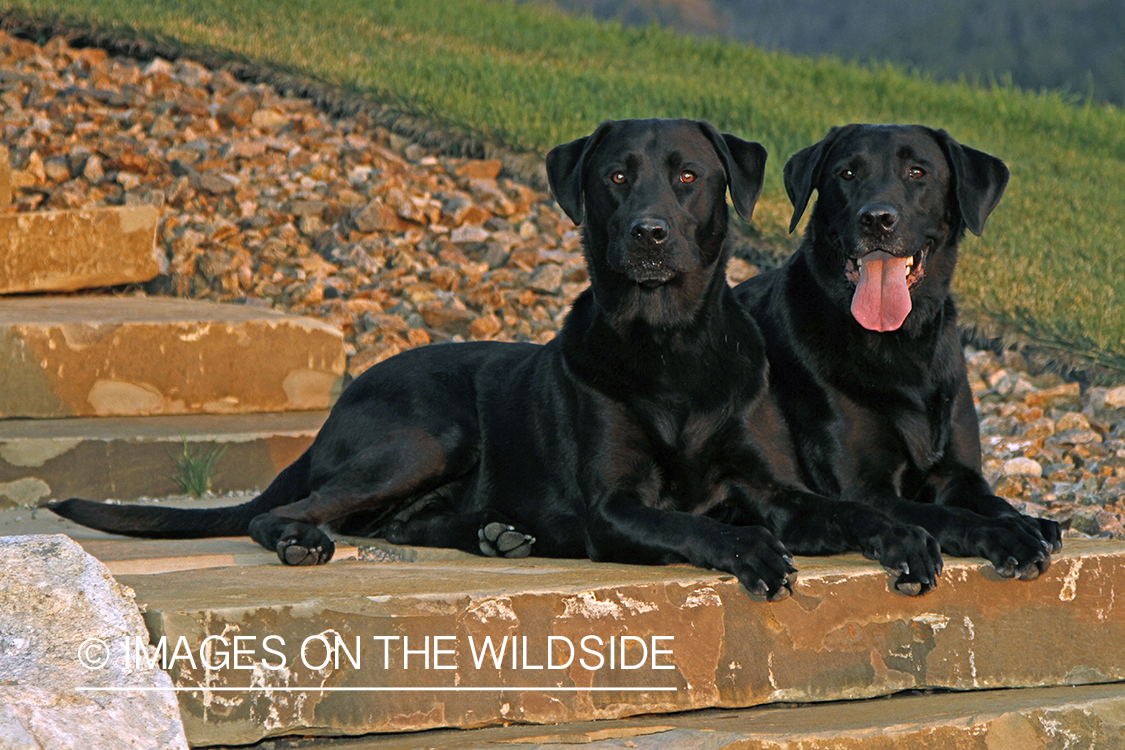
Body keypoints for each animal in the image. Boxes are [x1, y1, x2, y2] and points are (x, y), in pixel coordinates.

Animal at [54, 118, 949, 598]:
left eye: (689, 177)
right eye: (615, 176)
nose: (648, 234)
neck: (671, 346)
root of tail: (342, 399)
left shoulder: (773, 488)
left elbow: (853, 510)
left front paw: (907, 538)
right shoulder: (614, 506)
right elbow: (690, 524)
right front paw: (755, 552)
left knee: (402, 521)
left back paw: (498, 536)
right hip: (426, 438)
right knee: (292, 511)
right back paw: (307, 540)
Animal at [738, 124, 1062, 593]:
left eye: (917, 172)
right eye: (847, 173)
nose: (877, 219)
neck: (900, 344)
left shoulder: (960, 474)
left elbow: (992, 500)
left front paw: (1028, 521)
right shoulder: (864, 489)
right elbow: (946, 515)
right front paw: (1007, 535)